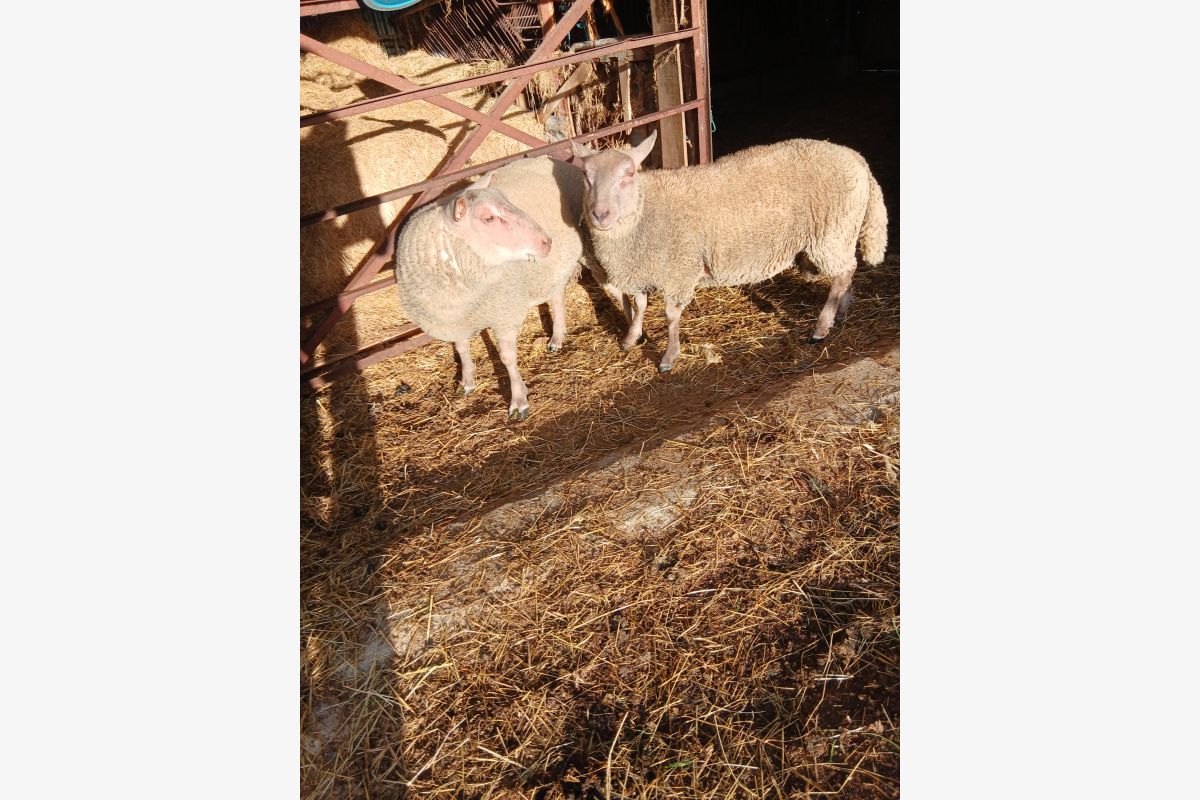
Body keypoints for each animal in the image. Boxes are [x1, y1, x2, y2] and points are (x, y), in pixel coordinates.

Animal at [393, 156, 587, 421]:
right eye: (489, 219)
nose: (546, 242)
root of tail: (552, 158)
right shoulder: (455, 321)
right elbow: (462, 348)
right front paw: (467, 381)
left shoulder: (504, 311)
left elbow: (507, 357)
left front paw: (518, 400)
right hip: (550, 267)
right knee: (556, 294)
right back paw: (557, 337)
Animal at [570, 132, 888, 372]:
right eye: (585, 176)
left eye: (629, 173)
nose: (600, 214)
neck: (646, 210)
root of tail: (856, 158)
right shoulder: (642, 268)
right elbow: (639, 306)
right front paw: (631, 338)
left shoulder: (680, 267)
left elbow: (671, 315)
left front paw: (669, 357)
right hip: (841, 231)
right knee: (846, 270)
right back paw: (842, 309)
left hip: (831, 231)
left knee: (844, 271)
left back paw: (821, 328)